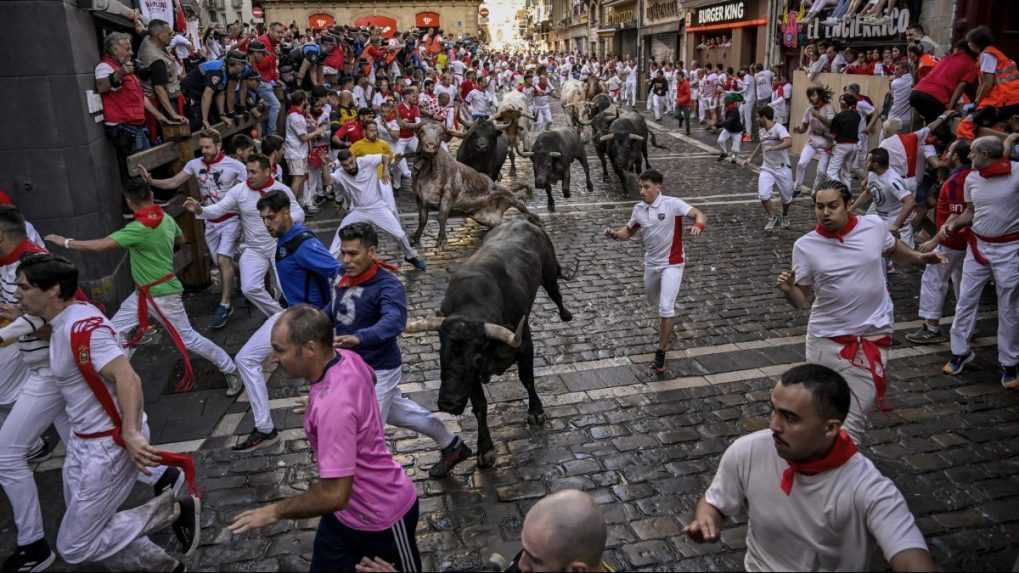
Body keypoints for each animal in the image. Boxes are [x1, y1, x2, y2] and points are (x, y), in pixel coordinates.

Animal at [407, 216, 582, 466]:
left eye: (476, 358)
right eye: (442, 354)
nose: (448, 403)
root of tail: (523, 221)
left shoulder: (525, 343)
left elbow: (527, 378)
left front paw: (536, 411)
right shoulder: (470, 379)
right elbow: (480, 405)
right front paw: (485, 449)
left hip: (548, 273)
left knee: (555, 292)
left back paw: (566, 314)